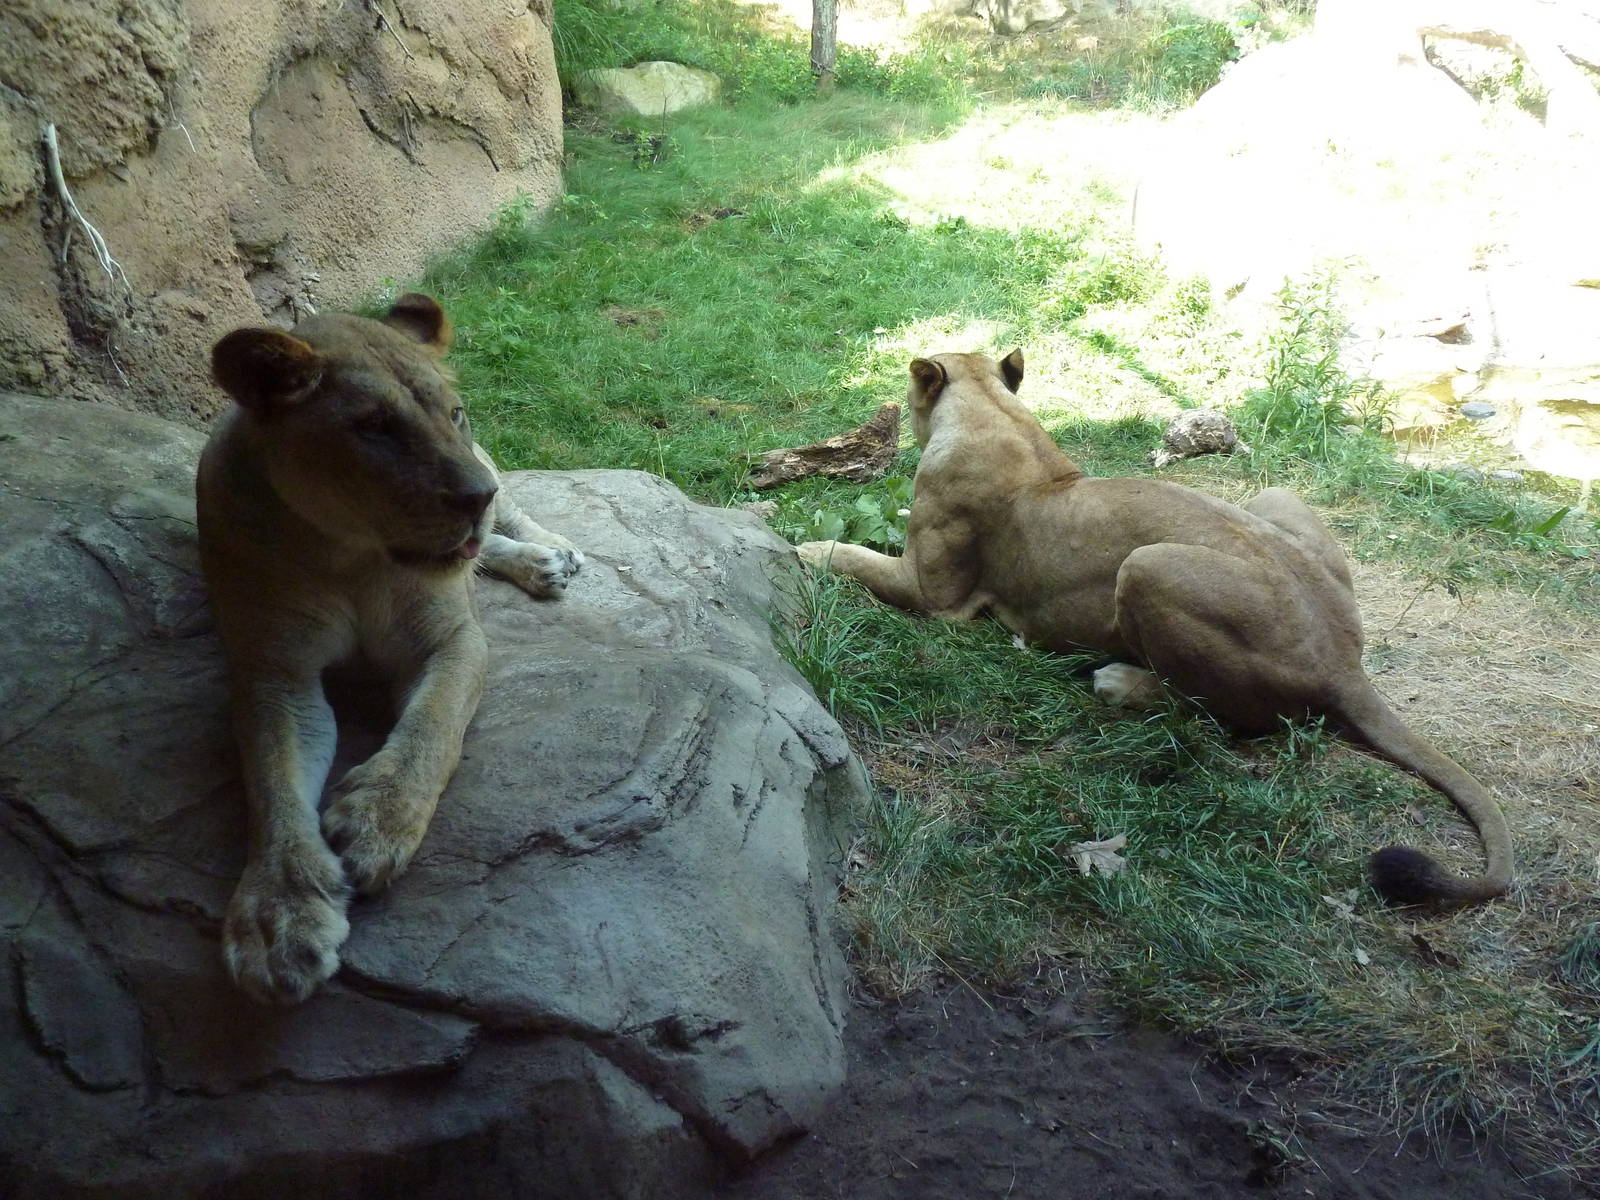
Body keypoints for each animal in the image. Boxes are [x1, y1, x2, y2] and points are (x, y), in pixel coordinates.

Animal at [198, 292, 583, 1004]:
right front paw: (278, 916)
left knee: (510, 518)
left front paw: (378, 822)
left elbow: (433, 727)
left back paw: (551, 555)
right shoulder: (276, 673)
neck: (348, 554)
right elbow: (272, 783)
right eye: (376, 427)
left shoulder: (454, 639)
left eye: (454, 412)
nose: (473, 496)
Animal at [797, 350, 1512, 907]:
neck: (991, 409)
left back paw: (1116, 681)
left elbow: (856, 557)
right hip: (1273, 499)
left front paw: (805, 546)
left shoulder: (934, 594)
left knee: (1220, 716)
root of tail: (1347, 662)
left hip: (1149, 566)